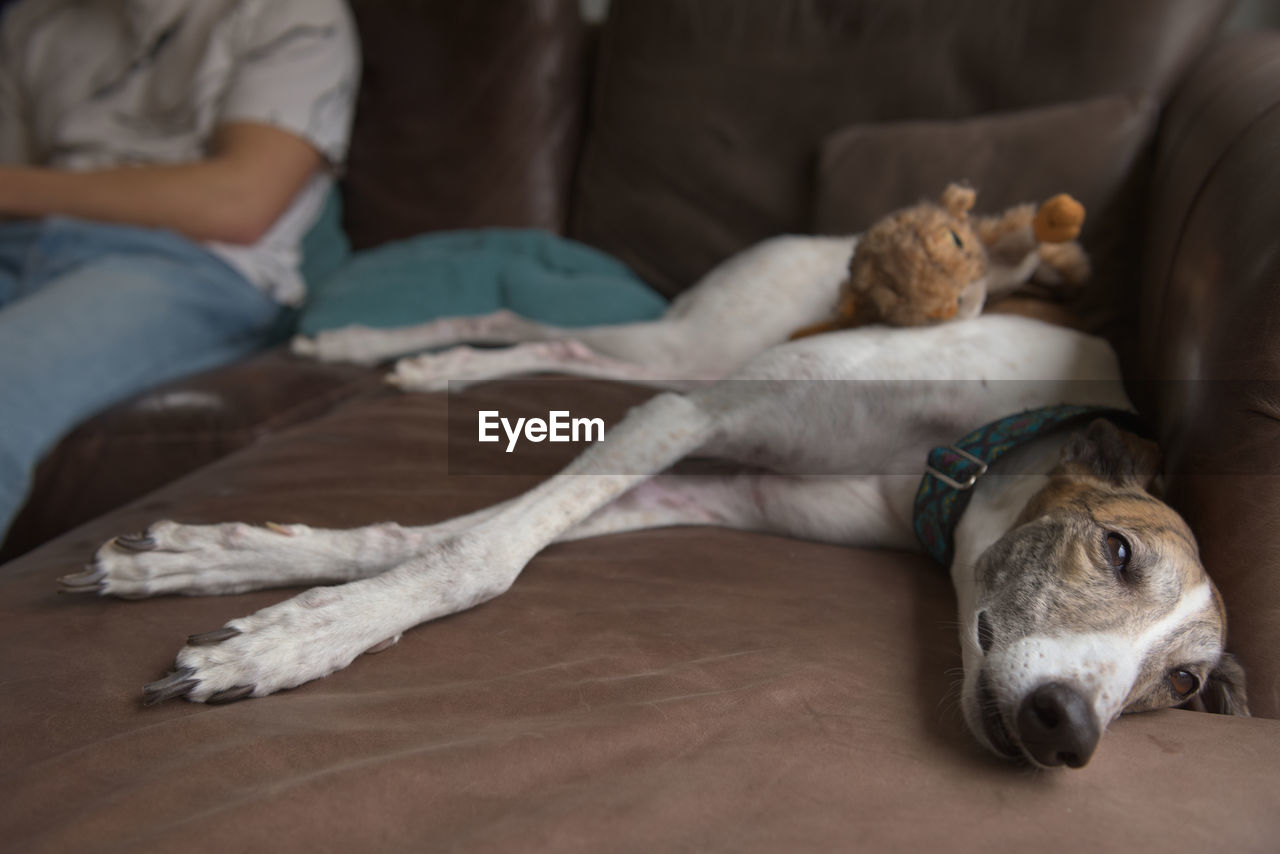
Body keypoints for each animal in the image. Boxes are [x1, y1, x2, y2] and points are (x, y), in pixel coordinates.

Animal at [62, 311, 1249, 773]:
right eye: (1118, 553)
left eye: (1184, 685)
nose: (1067, 729)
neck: (961, 465)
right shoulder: (698, 411)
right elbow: (480, 555)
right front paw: (284, 640)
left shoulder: (724, 484)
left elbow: (435, 534)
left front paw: (217, 566)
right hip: (698, 355)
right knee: (552, 330)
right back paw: (381, 347)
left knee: (570, 346)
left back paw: (427, 367)